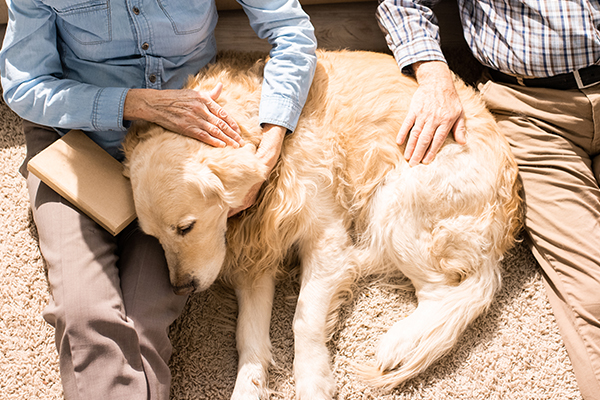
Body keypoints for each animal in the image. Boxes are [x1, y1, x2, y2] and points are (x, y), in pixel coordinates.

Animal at [122, 50, 520, 400]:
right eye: (153, 237)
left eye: (185, 227)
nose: (181, 287)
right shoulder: (257, 252)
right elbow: (247, 335)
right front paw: (248, 386)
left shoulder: (323, 237)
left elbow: (304, 318)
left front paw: (312, 381)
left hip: (398, 196)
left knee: (445, 292)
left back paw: (400, 341)